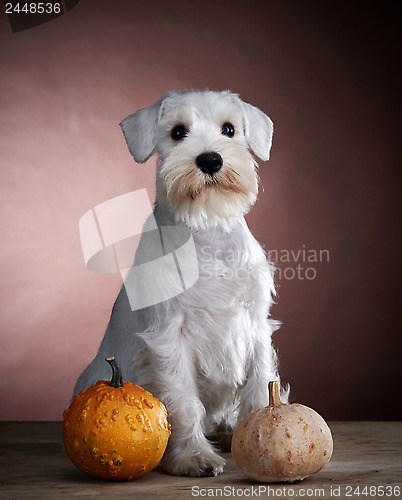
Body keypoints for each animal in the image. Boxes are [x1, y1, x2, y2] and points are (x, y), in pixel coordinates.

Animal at [74, 90, 288, 476]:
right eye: (177, 133)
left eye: (229, 128)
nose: (210, 159)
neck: (208, 232)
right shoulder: (170, 336)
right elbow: (185, 402)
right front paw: (194, 457)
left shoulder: (255, 325)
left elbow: (260, 384)